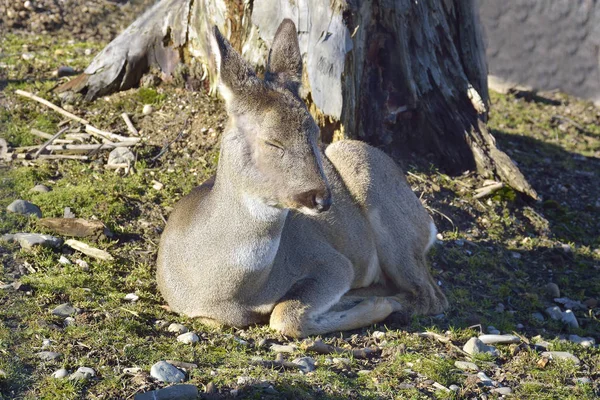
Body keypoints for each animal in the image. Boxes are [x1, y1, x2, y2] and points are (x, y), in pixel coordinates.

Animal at [157, 18, 448, 338]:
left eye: (314, 133)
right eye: (272, 142)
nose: (321, 198)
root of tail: (428, 223)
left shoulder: (332, 262)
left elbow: (284, 315)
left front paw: (376, 305)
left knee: (431, 295)